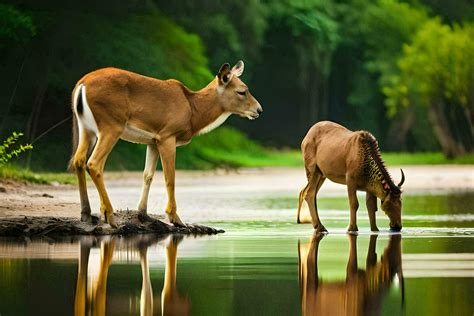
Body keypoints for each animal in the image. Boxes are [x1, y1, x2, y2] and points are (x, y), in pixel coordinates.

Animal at [69, 60, 262, 227]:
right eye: (242, 91)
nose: (259, 110)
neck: (193, 111)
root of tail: (81, 85)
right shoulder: (168, 136)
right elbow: (170, 178)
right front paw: (175, 217)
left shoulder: (153, 141)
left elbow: (148, 175)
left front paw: (143, 213)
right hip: (111, 125)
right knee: (94, 163)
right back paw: (109, 216)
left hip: (86, 128)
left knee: (78, 160)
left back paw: (87, 214)